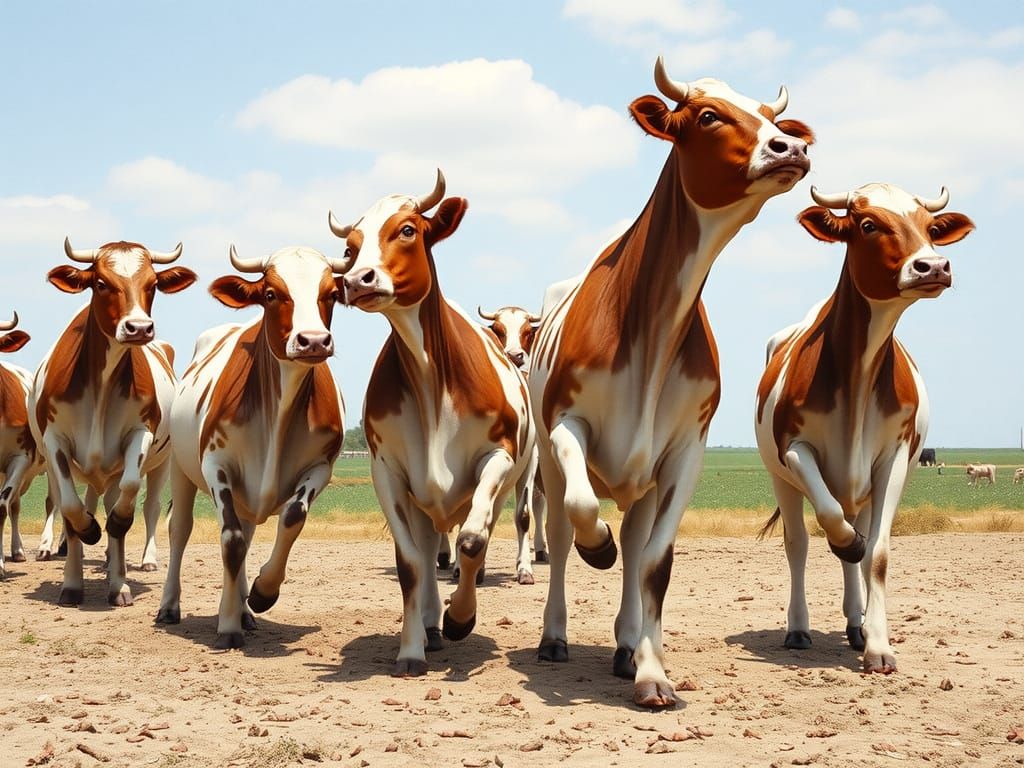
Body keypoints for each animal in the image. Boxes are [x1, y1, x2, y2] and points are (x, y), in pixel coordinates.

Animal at [28, 238, 197, 606]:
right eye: (101, 283)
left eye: (153, 284)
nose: (139, 328)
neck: (101, 385)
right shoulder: (54, 442)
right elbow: (71, 508)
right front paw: (73, 580)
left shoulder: (139, 435)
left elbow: (126, 505)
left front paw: (118, 580)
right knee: (85, 501)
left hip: (161, 462)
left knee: (147, 507)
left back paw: (132, 567)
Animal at [155, 245, 346, 649]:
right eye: (271, 293)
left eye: (331, 294)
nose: (313, 340)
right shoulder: (216, 465)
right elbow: (230, 539)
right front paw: (227, 624)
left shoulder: (321, 467)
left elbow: (292, 517)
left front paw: (261, 593)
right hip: (180, 467)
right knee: (181, 529)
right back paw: (170, 606)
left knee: (249, 530)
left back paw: (245, 609)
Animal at [328, 170, 535, 676]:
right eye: (350, 247)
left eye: (407, 229)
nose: (356, 280)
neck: (430, 380)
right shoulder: (388, 472)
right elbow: (410, 563)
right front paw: (411, 648)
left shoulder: (498, 457)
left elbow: (474, 539)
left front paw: (461, 618)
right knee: (427, 548)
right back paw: (430, 624)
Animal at [528, 56, 814, 708]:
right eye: (707, 115)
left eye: (772, 116)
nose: (792, 146)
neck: (649, 333)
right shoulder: (565, 425)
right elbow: (583, 512)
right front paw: (597, 545)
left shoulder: (685, 450)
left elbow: (655, 563)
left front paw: (652, 671)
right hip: (548, 463)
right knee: (558, 534)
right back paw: (556, 634)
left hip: (645, 480)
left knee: (636, 543)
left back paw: (626, 644)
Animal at [755, 183, 975, 674]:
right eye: (869, 224)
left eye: (930, 227)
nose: (934, 266)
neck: (860, 375)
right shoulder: (794, 450)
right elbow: (829, 522)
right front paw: (847, 546)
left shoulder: (894, 458)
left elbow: (876, 553)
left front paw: (878, 644)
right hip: (783, 479)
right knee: (798, 544)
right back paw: (799, 627)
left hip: (864, 489)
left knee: (855, 538)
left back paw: (856, 624)